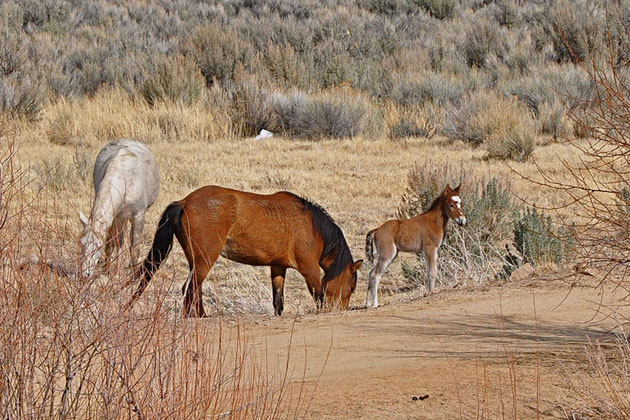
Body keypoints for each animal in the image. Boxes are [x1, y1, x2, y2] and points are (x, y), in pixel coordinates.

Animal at [79, 138, 162, 278]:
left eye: (97, 247)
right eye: (81, 243)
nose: (85, 274)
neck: (124, 180)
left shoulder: (139, 216)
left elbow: (134, 247)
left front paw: (133, 274)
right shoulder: (115, 217)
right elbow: (114, 242)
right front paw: (110, 271)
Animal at [129, 185, 362, 316]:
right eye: (352, 286)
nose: (341, 310)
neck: (313, 226)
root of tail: (184, 202)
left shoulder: (278, 267)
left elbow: (278, 301)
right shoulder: (309, 268)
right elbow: (319, 295)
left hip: (196, 260)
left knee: (196, 289)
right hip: (205, 259)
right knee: (190, 288)